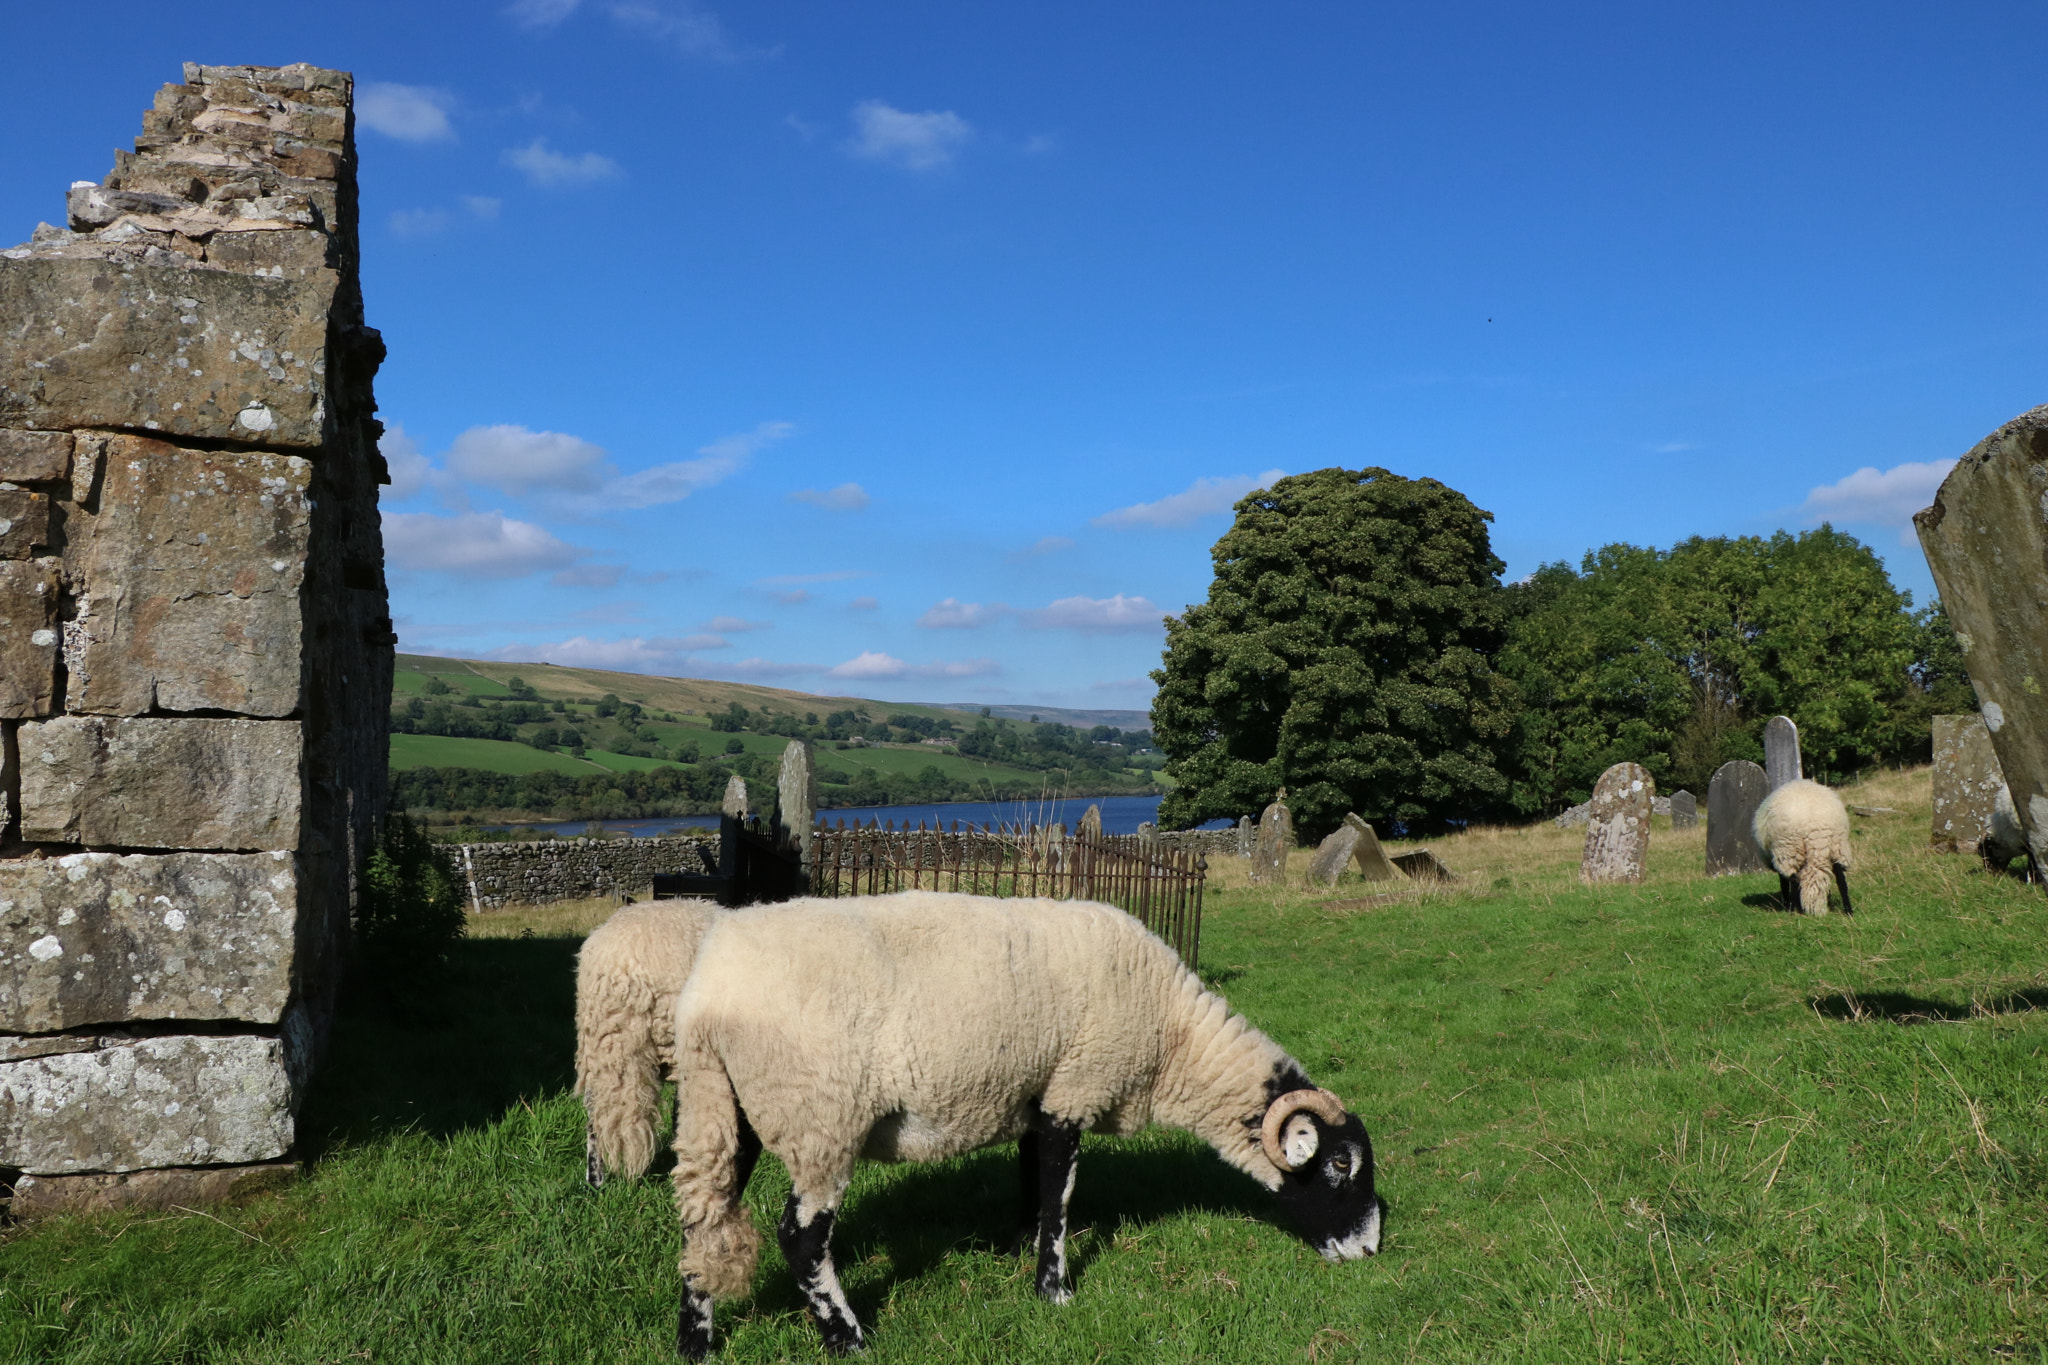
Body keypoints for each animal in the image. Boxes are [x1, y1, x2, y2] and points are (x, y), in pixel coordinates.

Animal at [666, 890, 1381, 1359]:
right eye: (1339, 1165)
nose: (1372, 1252)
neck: (1173, 1040)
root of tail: (705, 996)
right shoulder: (1074, 1087)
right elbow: (1061, 1200)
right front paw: (1054, 1290)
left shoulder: (1035, 1095)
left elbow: (1032, 1185)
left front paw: (1017, 1248)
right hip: (819, 1119)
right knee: (801, 1239)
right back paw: (849, 1338)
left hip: (719, 1106)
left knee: (702, 1218)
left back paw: (696, 1343)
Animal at [1751, 778, 1853, 914]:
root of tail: (1815, 825)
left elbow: (1784, 883)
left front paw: (1788, 905)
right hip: (1838, 846)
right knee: (1841, 879)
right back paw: (1848, 911)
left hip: (1788, 850)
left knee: (1793, 880)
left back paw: (1792, 909)